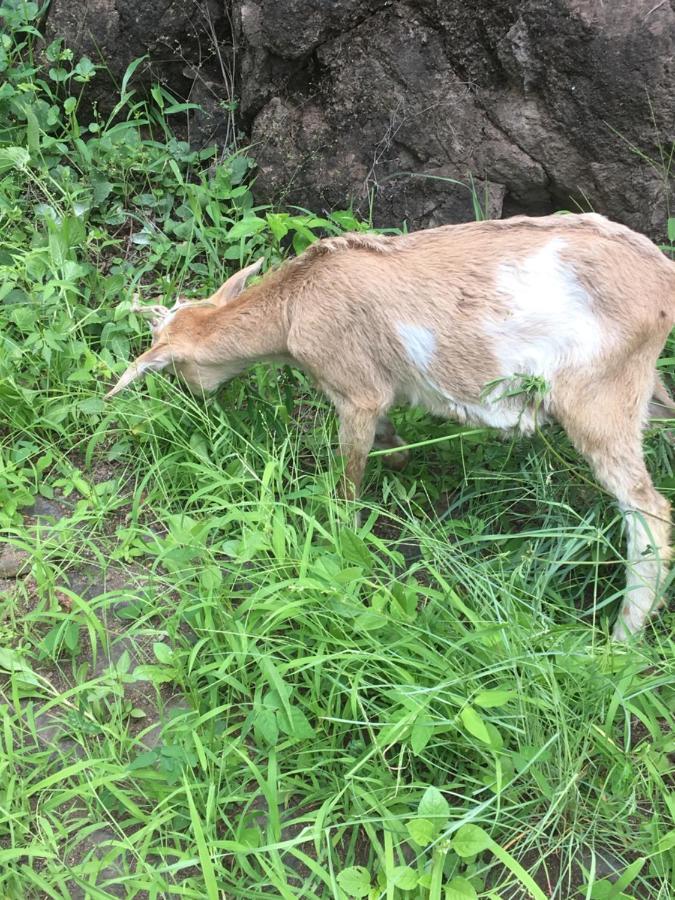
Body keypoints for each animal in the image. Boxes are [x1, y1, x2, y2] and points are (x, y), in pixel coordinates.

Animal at [107, 214, 675, 636]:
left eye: (176, 365)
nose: (192, 398)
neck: (295, 305)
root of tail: (662, 275)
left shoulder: (355, 391)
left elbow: (348, 480)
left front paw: (341, 539)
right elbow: (387, 438)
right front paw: (401, 456)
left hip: (598, 399)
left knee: (649, 514)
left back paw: (621, 639)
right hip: (644, 388)